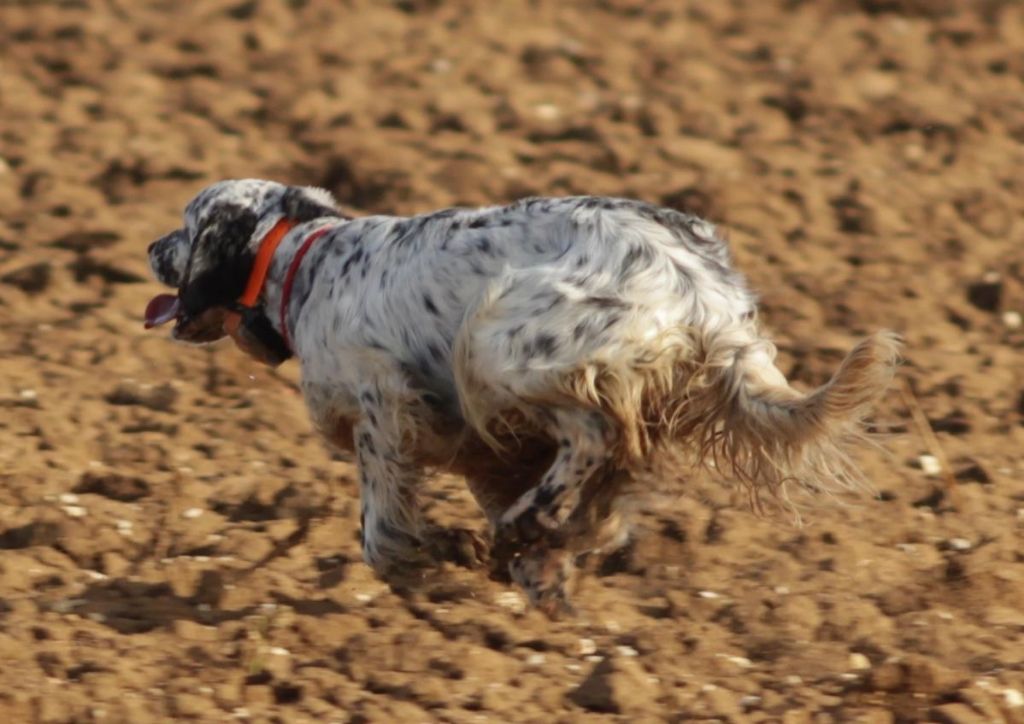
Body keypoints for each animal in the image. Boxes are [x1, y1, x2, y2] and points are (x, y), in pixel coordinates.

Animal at [145, 179, 899, 611]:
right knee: (607, 471)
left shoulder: (383, 407)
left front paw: (443, 555)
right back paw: (539, 541)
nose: (151, 246)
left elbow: (380, 534)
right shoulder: (482, 451)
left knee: (592, 438)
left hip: (496, 343)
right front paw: (529, 566)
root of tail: (700, 285)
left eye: (186, 225)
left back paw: (526, 523)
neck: (308, 263)